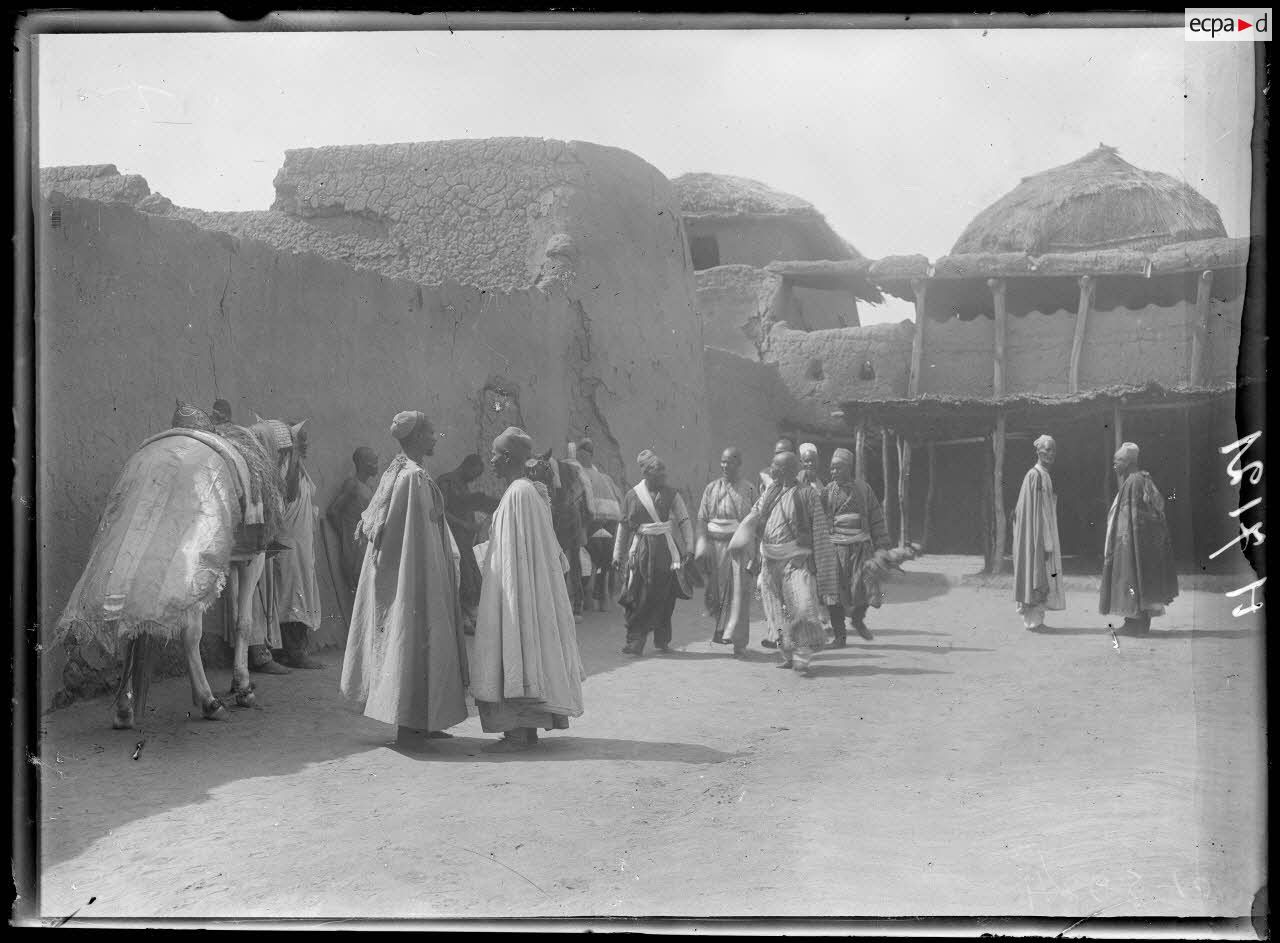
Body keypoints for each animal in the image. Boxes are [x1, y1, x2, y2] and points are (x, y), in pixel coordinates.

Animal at [53, 412, 308, 726]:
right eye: (298, 456)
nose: (293, 493)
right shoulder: (253, 560)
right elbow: (243, 622)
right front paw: (243, 688)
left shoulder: (234, 559)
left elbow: (236, 614)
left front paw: (237, 683)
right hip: (190, 568)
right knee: (189, 634)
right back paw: (209, 701)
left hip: (128, 571)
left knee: (128, 623)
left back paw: (124, 708)